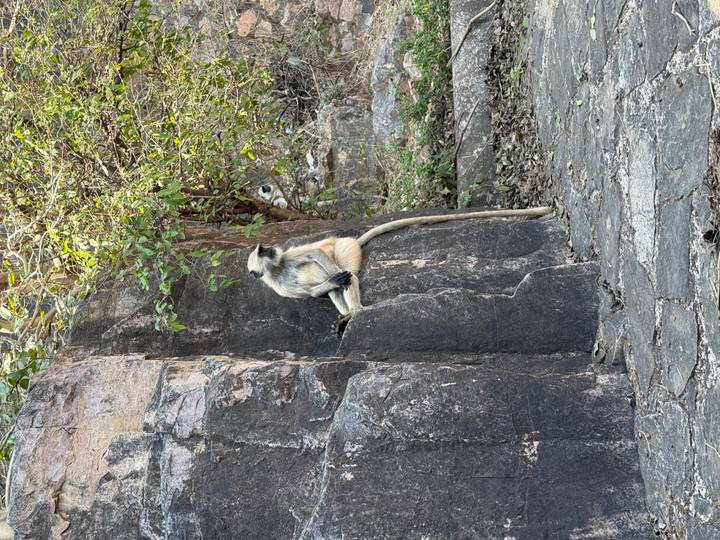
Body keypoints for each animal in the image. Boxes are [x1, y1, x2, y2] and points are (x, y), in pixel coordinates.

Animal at [246, 206, 553, 334]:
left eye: (265, 249)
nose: (269, 248)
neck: (277, 268)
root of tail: (351, 241)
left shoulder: (288, 254)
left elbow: (315, 254)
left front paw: (335, 276)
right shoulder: (278, 285)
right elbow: (311, 294)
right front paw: (329, 286)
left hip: (343, 250)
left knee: (343, 273)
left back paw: (354, 310)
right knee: (331, 288)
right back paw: (346, 311)